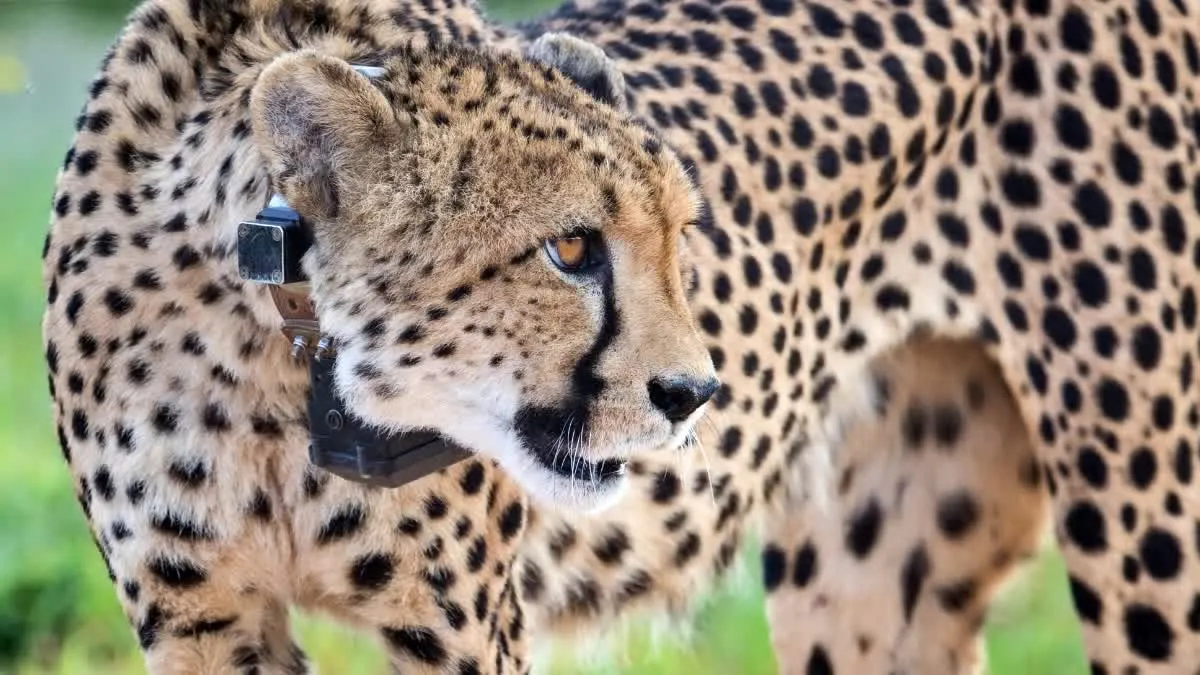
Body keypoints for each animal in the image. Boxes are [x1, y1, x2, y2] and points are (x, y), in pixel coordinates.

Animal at [40, 0, 1200, 673]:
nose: (694, 394)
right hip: (867, 570)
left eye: (681, 236)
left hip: (1147, 528)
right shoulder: (200, 615)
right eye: (569, 249)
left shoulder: (460, 629)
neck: (264, 353)